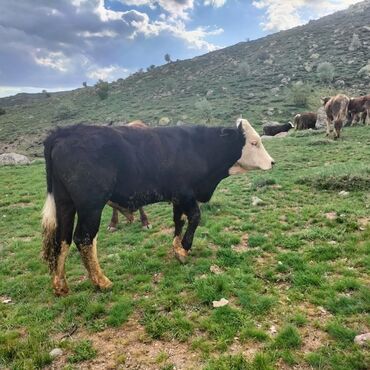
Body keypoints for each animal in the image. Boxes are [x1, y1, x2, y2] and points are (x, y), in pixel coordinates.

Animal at [42, 120, 274, 296]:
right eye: (254, 142)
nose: (272, 162)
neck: (198, 147)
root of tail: (64, 133)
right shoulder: (186, 194)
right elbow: (195, 217)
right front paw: (185, 247)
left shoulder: (178, 198)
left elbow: (179, 220)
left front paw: (177, 246)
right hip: (91, 206)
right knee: (83, 239)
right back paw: (101, 281)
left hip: (65, 203)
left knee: (63, 239)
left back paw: (60, 285)